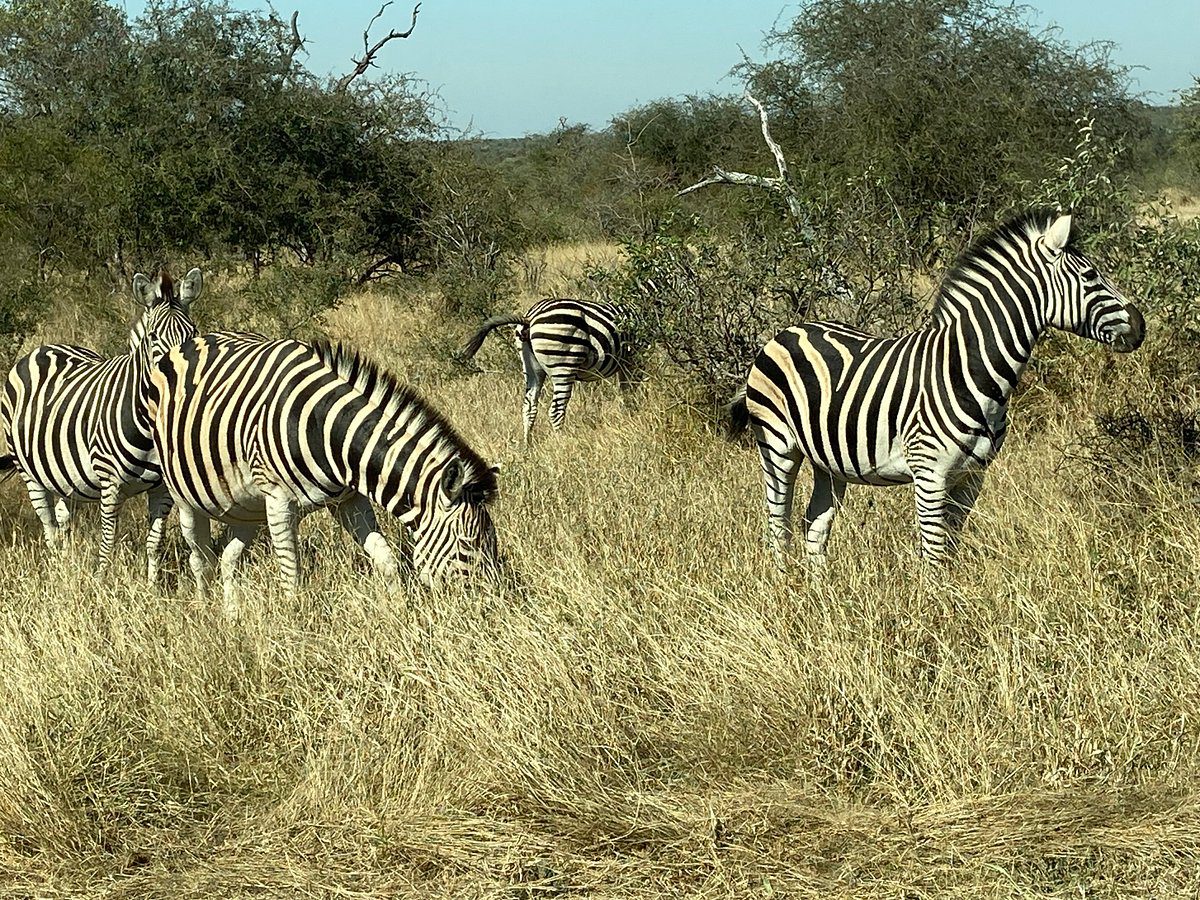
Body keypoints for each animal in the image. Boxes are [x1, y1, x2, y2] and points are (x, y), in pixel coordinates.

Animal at [0, 267, 201, 580]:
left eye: (193, 333)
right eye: (154, 336)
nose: (182, 379)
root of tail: (45, 348)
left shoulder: (163, 488)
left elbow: (154, 541)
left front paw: (152, 586)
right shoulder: (110, 483)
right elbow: (108, 540)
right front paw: (102, 582)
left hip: (64, 476)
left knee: (63, 521)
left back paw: (67, 564)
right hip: (29, 472)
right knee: (49, 526)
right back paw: (56, 571)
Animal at [148, 331, 501, 607]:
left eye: (492, 540)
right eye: (468, 544)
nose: (493, 607)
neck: (328, 430)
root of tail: (191, 341)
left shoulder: (349, 500)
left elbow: (386, 560)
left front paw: (400, 613)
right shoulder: (278, 503)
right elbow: (291, 578)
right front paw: (293, 629)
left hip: (246, 508)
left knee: (227, 559)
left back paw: (231, 616)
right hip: (184, 497)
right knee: (199, 559)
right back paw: (205, 612)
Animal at [456, 300, 628, 444]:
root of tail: (529, 318)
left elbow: (626, 391)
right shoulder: (630, 360)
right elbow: (629, 389)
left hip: (531, 367)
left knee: (528, 406)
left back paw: (527, 447)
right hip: (564, 363)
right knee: (556, 411)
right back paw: (563, 444)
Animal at [724, 210, 1147, 571]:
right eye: (1091, 276)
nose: (1141, 326)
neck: (971, 369)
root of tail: (787, 331)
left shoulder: (972, 476)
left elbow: (951, 548)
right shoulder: (930, 473)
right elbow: (934, 553)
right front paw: (935, 609)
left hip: (828, 460)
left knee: (815, 523)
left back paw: (819, 591)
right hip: (777, 445)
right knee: (777, 523)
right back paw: (786, 586)